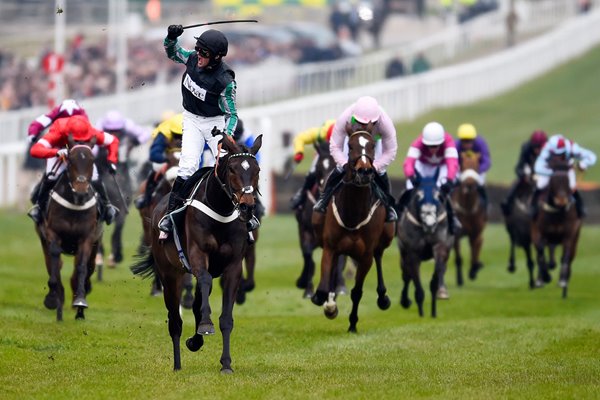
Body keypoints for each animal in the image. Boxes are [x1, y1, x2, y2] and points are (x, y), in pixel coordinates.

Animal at [33, 138, 101, 322]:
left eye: (92, 160)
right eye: (70, 160)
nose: (81, 191)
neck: (75, 204)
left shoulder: (87, 238)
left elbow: (82, 268)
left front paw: (80, 301)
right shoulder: (52, 234)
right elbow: (55, 265)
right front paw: (53, 299)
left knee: (86, 268)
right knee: (52, 264)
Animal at [131, 134, 262, 372]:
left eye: (257, 170)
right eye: (232, 169)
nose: (247, 207)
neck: (220, 210)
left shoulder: (233, 266)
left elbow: (225, 318)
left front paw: (226, 364)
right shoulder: (198, 256)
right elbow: (204, 282)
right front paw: (205, 326)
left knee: (196, 304)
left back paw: (195, 340)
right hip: (169, 273)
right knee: (175, 319)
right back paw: (177, 364)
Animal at [310, 123, 394, 332]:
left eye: (371, 145)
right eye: (351, 146)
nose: (364, 171)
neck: (353, 214)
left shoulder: (365, 256)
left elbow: (357, 291)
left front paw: (353, 324)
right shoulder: (330, 247)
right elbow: (323, 288)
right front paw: (328, 305)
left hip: (385, 238)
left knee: (379, 256)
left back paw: (383, 297)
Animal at [452, 152, 486, 286]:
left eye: (477, 167)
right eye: (463, 166)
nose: (470, 185)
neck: (467, 207)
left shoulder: (476, 233)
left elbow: (474, 253)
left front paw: (474, 270)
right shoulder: (456, 235)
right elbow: (458, 258)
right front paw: (460, 280)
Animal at [528, 156, 580, 296]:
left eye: (568, 181)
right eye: (553, 181)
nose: (561, 201)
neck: (556, 212)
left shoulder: (569, 234)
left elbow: (565, 255)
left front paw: (562, 280)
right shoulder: (538, 232)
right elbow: (540, 253)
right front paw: (544, 277)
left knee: (570, 256)